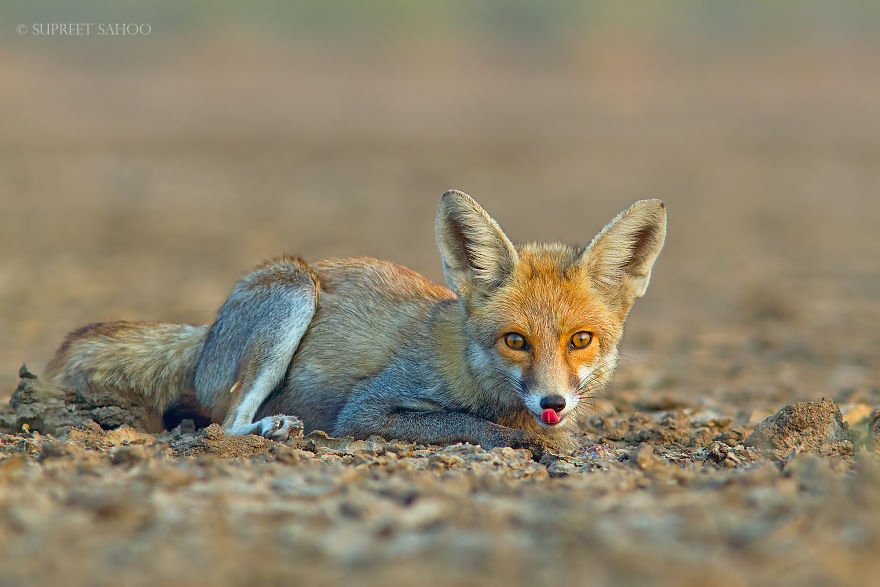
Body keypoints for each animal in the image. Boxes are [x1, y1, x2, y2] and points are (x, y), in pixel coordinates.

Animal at [47, 190, 666, 451]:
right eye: (515, 340)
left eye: (580, 340)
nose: (552, 402)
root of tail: (206, 331)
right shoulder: (368, 409)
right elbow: (471, 425)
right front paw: (534, 440)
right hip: (293, 293)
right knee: (222, 422)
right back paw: (271, 429)